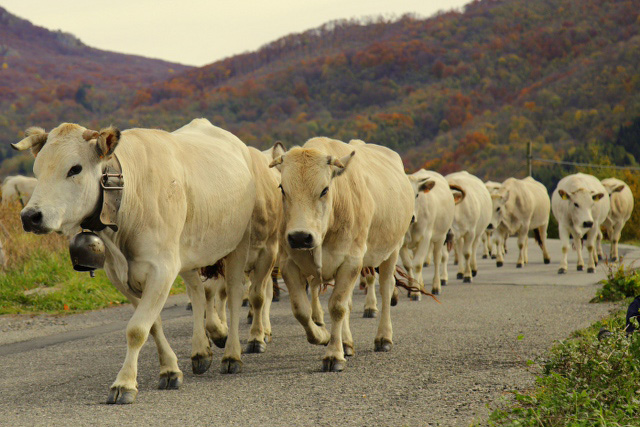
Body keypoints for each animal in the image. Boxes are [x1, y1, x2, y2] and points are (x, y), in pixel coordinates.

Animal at [12, 119, 258, 404]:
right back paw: (201, 351)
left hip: (239, 244)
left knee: (234, 295)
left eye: (75, 168)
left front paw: (124, 383)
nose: (30, 216)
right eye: (36, 170)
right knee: (198, 293)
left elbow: (137, 329)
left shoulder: (162, 269)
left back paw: (232, 354)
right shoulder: (121, 276)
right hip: (187, 253)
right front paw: (169, 370)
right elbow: (152, 325)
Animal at [270, 137, 416, 372]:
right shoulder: (288, 263)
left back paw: (383, 337)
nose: (300, 237)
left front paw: (333, 355)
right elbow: (301, 310)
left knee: (386, 289)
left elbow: (337, 307)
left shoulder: (351, 261)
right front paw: (323, 336)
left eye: (324, 190)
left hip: (392, 250)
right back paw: (346, 342)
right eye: (282, 188)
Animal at [400, 170, 456, 298]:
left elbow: (417, 264)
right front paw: (412, 289)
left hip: (440, 238)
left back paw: (436, 286)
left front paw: (416, 294)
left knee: (437, 259)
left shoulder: (425, 238)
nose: (411, 217)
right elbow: (408, 265)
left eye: (417, 195)